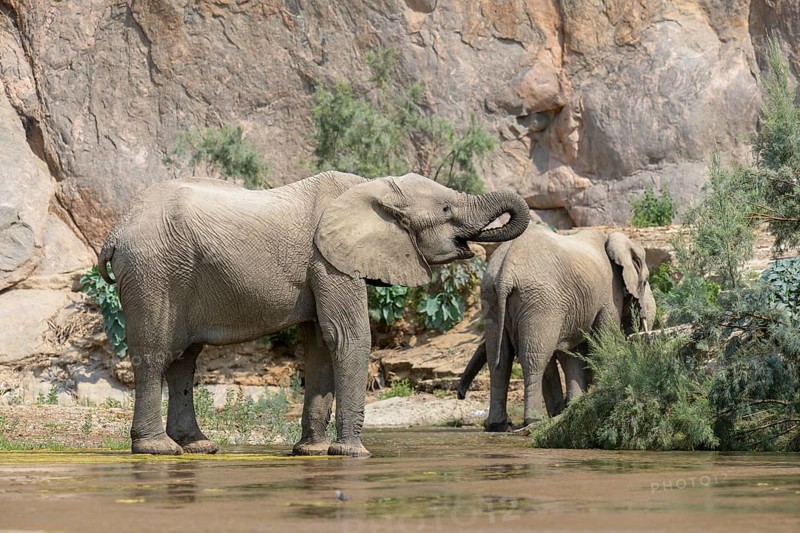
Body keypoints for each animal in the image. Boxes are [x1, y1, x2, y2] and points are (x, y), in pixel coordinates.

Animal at [97, 171, 530, 457]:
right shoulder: (329, 260)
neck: (370, 188)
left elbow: (322, 345)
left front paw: (313, 453)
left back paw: (199, 447)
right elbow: (348, 337)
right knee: (155, 354)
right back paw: (157, 449)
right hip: (153, 272)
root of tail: (115, 232)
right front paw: (352, 454)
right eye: (445, 208)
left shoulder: (324, 266)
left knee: (184, 360)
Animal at [457, 224, 656, 431]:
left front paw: (571, 406)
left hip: (492, 298)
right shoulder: (609, 293)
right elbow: (604, 338)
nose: (460, 394)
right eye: (645, 282)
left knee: (500, 359)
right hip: (539, 302)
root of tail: (505, 274)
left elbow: (571, 351)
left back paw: (498, 425)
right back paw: (534, 420)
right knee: (534, 357)